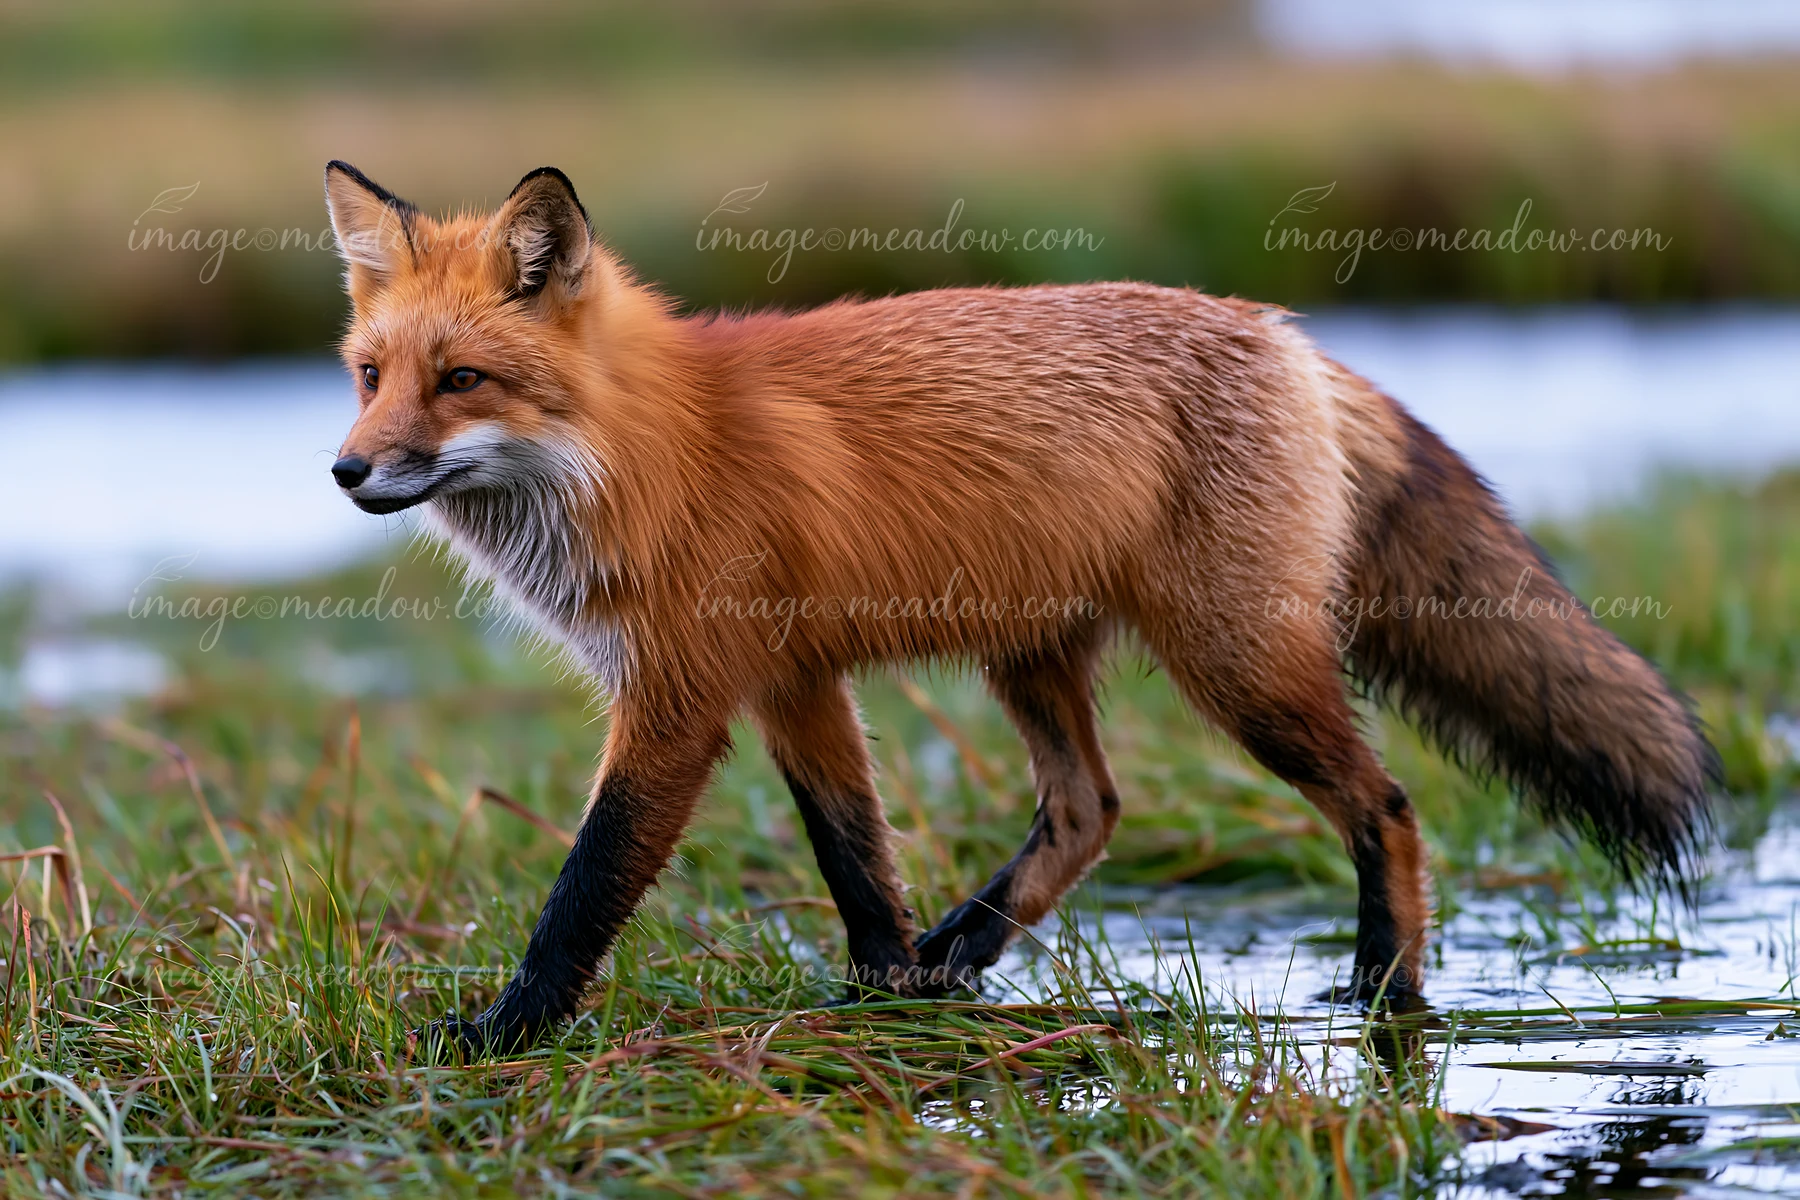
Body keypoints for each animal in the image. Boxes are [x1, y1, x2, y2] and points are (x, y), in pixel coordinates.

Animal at [323, 162, 1718, 1059]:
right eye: (369, 376)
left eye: (462, 381)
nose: (345, 472)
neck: (648, 451)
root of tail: (1286, 332)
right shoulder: (793, 682)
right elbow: (855, 856)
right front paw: (885, 991)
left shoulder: (680, 703)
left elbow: (585, 886)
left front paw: (501, 1034)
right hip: (1032, 655)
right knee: (1091, 808)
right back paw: (966, 951)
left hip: (1237, 668)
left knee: (1386, 804)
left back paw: (1385, 988)